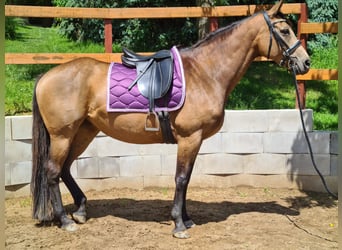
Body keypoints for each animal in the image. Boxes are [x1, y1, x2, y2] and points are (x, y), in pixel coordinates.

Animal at [31, 0, 310, 238]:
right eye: (284, 30)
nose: (305, 62)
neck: (205, 73)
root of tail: (46, 76)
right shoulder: (189, 138)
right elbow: (181, 178)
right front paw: (178, 224)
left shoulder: (194, 141)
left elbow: (186, 179)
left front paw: (186, 218)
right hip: (62, 135)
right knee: (53, 171)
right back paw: (64, 220)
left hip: (84, 131)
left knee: (65, 168)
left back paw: (79, 211)